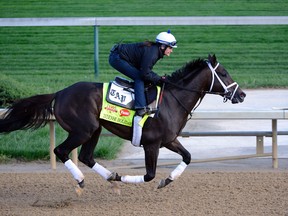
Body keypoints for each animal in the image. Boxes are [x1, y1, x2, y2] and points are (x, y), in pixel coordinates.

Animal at [0, 54, 245, 192]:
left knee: (87, 156)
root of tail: (60, 93)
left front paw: (167, 180)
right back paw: (81, 180)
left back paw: (111, 177)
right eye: (224, 73)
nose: (241, 95)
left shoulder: (169, 140)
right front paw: (139, 179)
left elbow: (188, 156)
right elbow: (149, 175)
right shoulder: (152, 144)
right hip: (83, 130)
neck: (171, 100)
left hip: (95, 130)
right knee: (60, 151)